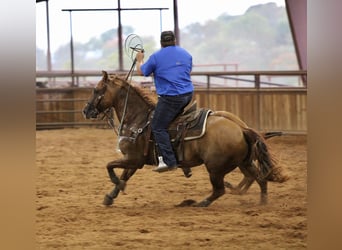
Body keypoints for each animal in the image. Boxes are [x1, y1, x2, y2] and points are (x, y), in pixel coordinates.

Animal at [83, 70, 286, 207]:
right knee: (260, 179)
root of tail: (242, 128)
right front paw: (110, 196)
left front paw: (116, 186)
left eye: (96, 90)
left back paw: (200, 203)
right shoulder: (134, 160)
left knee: (220, 189)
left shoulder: (134, 159)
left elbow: (110, 166)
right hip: (244, 162)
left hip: (215, 168)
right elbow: (124, 175)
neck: (138, 118)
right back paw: (261, 203)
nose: (86, 110)